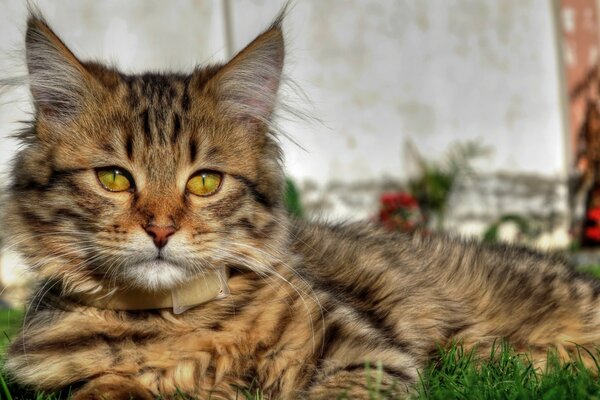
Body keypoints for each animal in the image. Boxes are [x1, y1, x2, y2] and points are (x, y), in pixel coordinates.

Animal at [3, 7, 600, 400]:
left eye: (204, 183)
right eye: (113, 178)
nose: (160, 230)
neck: (171, 327)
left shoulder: (369, 355)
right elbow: (110, 385)